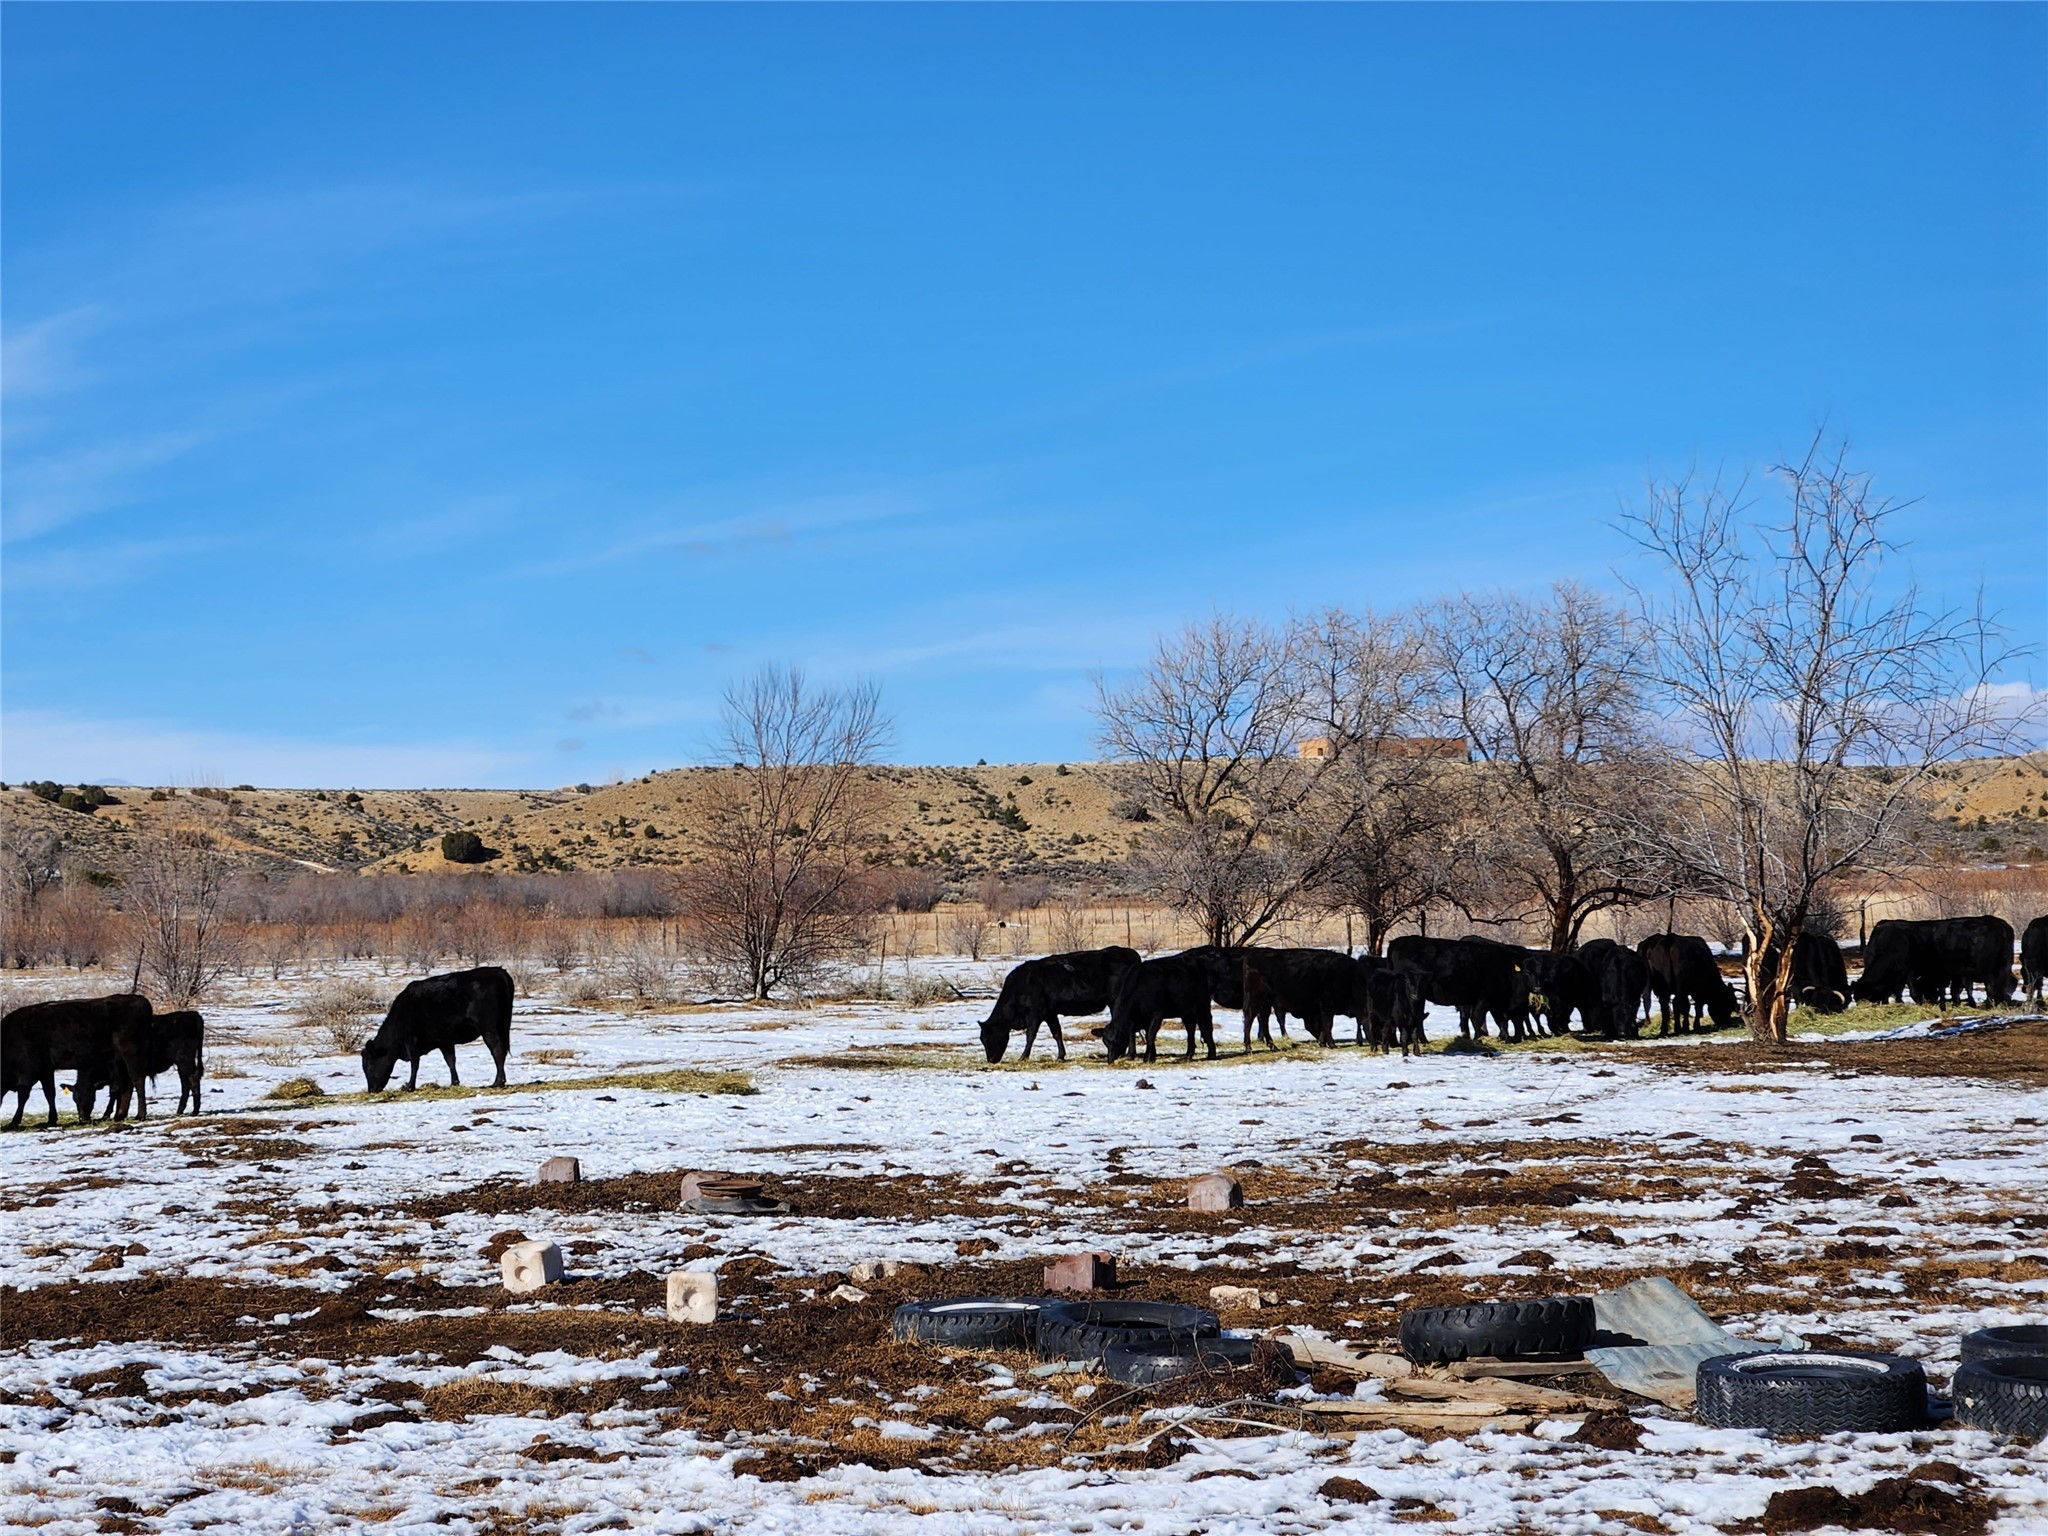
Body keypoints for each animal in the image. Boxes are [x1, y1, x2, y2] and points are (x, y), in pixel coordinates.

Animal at [1, 999, 153, 1130]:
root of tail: (140, 1000)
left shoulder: (29, 1071)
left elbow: (23, 1096)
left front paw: (14, 1122)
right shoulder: (46, 1070)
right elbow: (49, 1093)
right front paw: (51, 1120)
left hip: (132, 1053)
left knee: (138, 1080)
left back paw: (140, 1115)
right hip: (120, 1061)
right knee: (127, 1084)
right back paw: (120, 1115)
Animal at [358, 966, 509, 1089]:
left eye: (368, 1065)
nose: (371, 1090)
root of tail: (498, 971)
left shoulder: (412, 1043)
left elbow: (415, 1064)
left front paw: (409, 1086)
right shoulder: (444, 1041)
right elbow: (450, 1061)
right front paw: (454, 1083)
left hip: (489, 1029)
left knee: (497, 1051)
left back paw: (497, 1082)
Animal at [970, 946, 1138, 1064]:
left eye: (987, 1038)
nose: (991, 1060)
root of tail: (1131, 954)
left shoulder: (1035, 1013)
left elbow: (1030, 1035)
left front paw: (1023, 1057)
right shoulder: (1049, 1013)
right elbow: (1057, 1033)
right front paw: (1060, 1056)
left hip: (1117, 1000)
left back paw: (1129, 1054)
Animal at [1859, 913, 2015, 1011]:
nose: (1931, 1000)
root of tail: (2000, 924)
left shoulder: (1911, 972)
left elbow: (1913, 991)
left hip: (1987, 970)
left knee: (1992, 985)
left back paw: (1989, 1004)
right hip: (2005, 965)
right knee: (2008, 982)